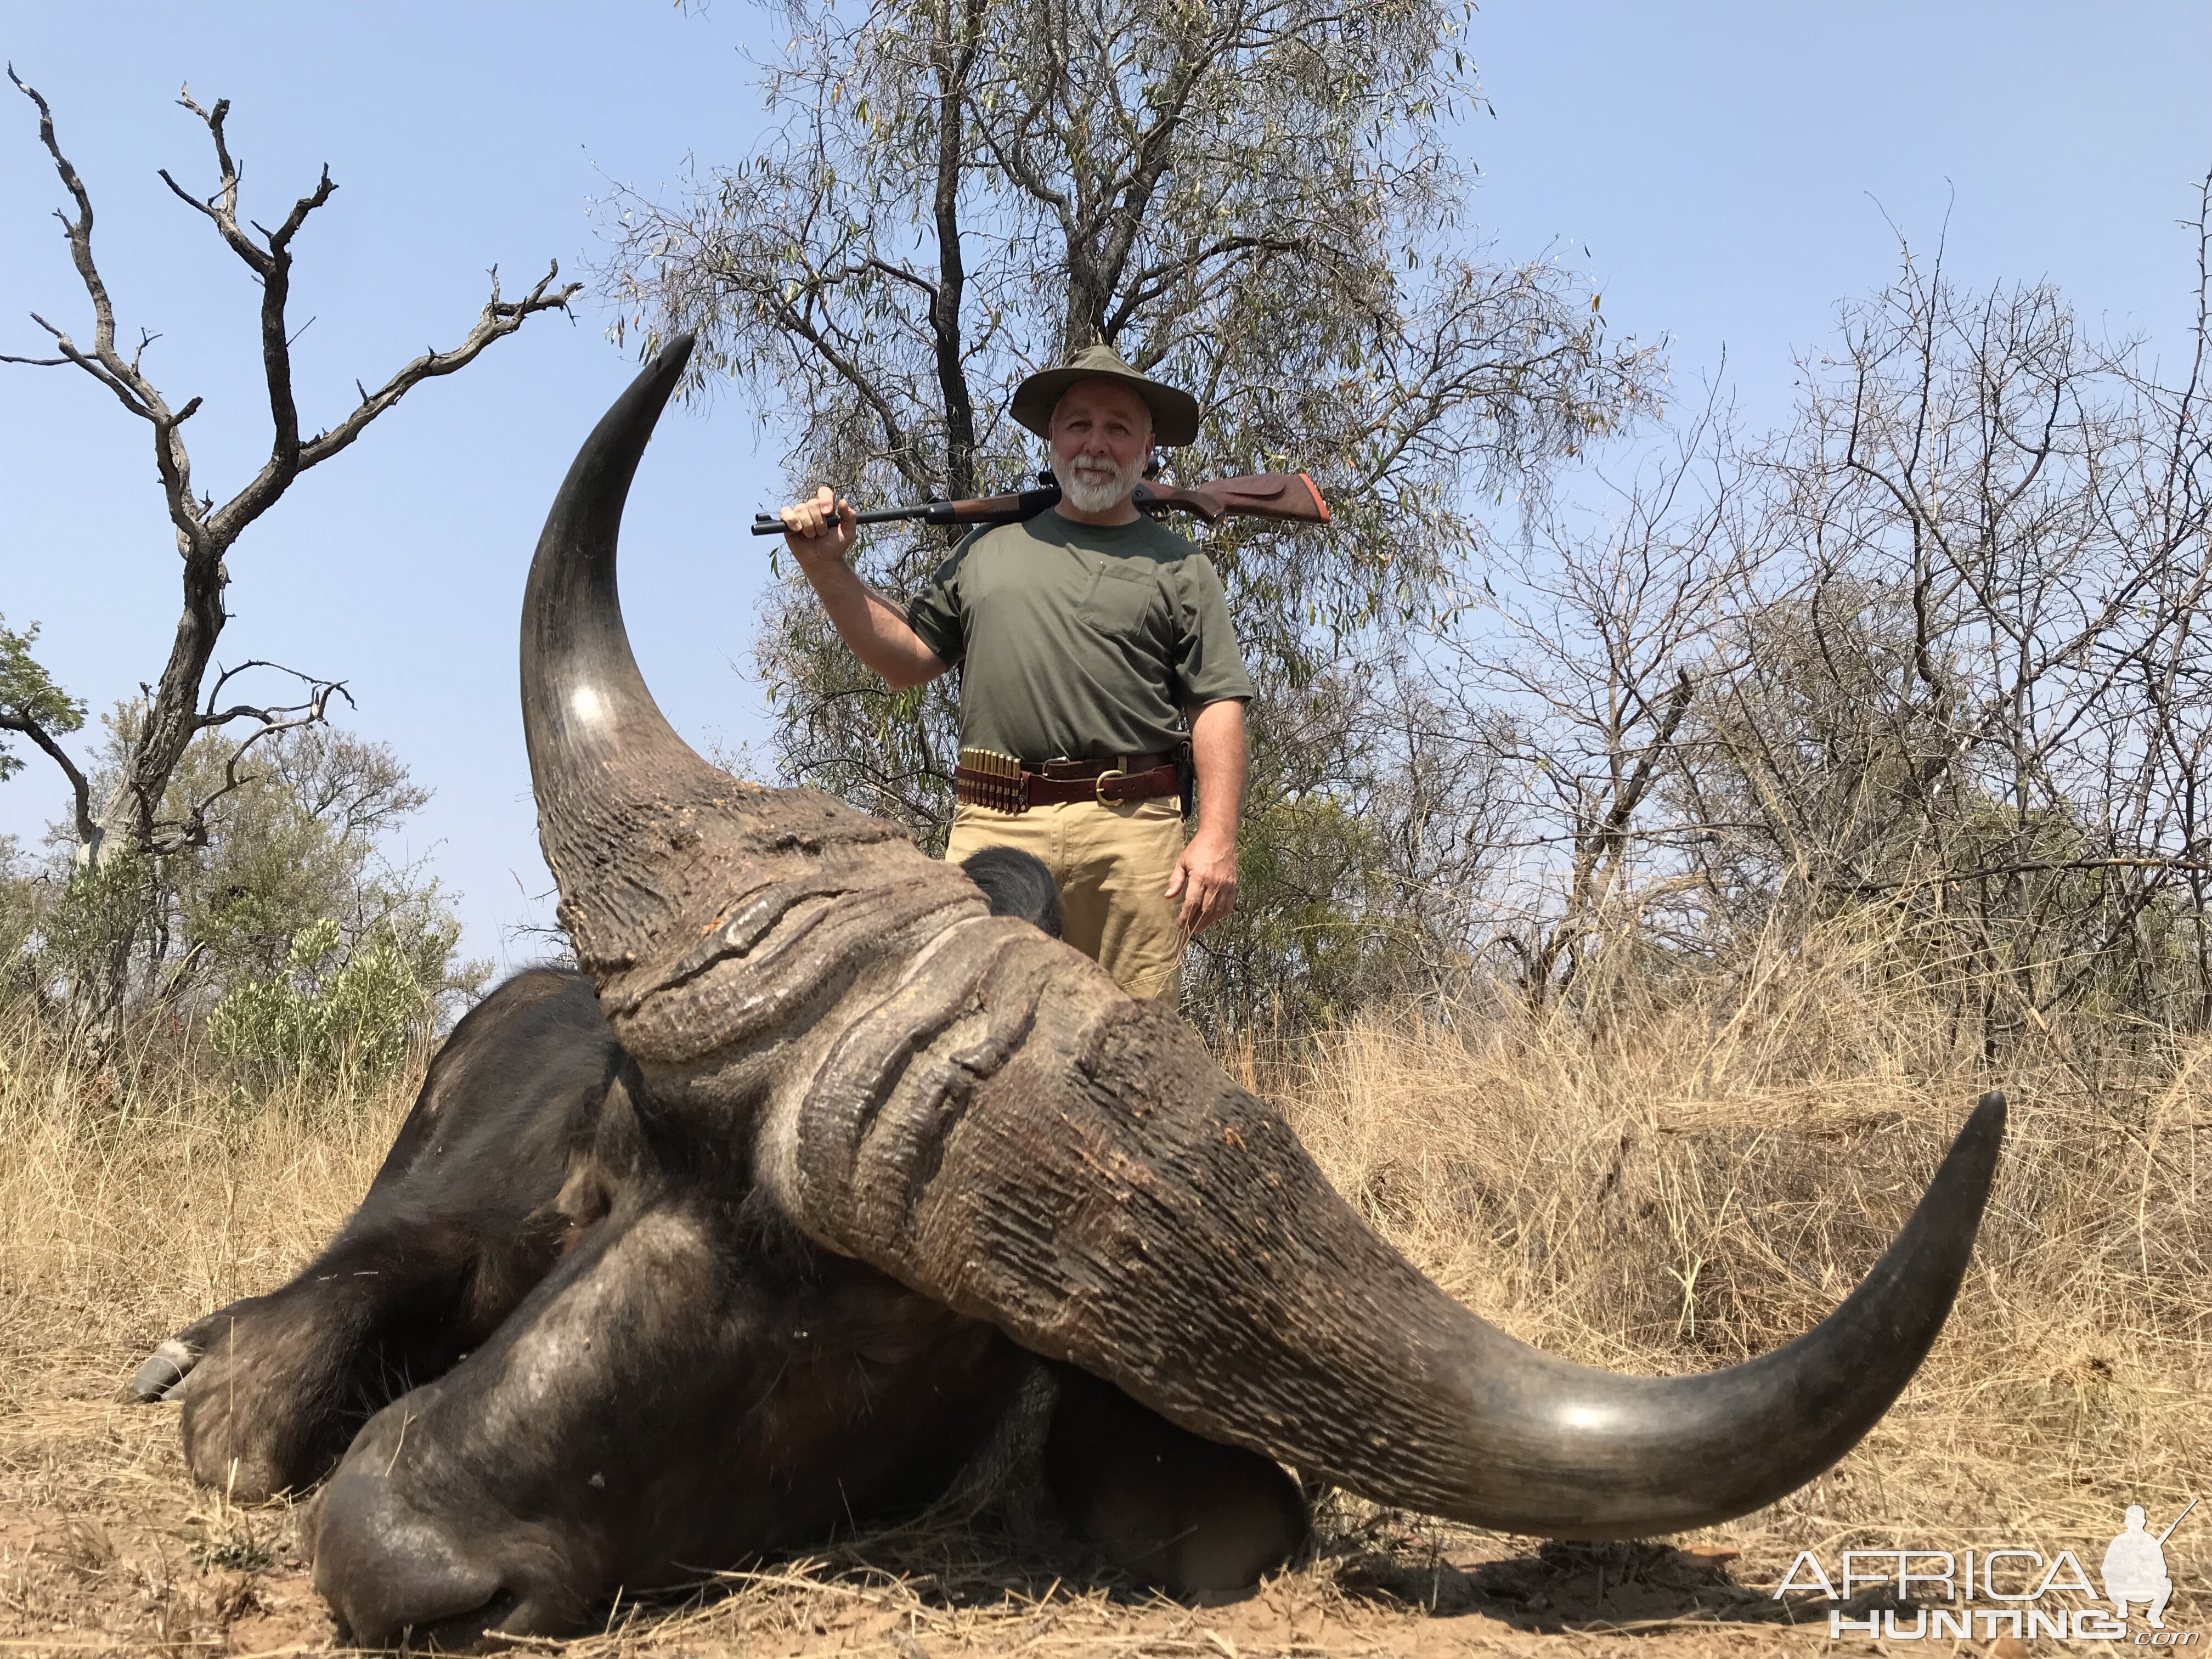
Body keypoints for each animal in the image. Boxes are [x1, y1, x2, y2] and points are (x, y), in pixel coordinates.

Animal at [133, 338, 2008, 1654]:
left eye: (865, 1323)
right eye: (618, 1163)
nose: (387, 1555)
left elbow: (1227, 1522)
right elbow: (267, 1393)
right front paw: (214, 1375)